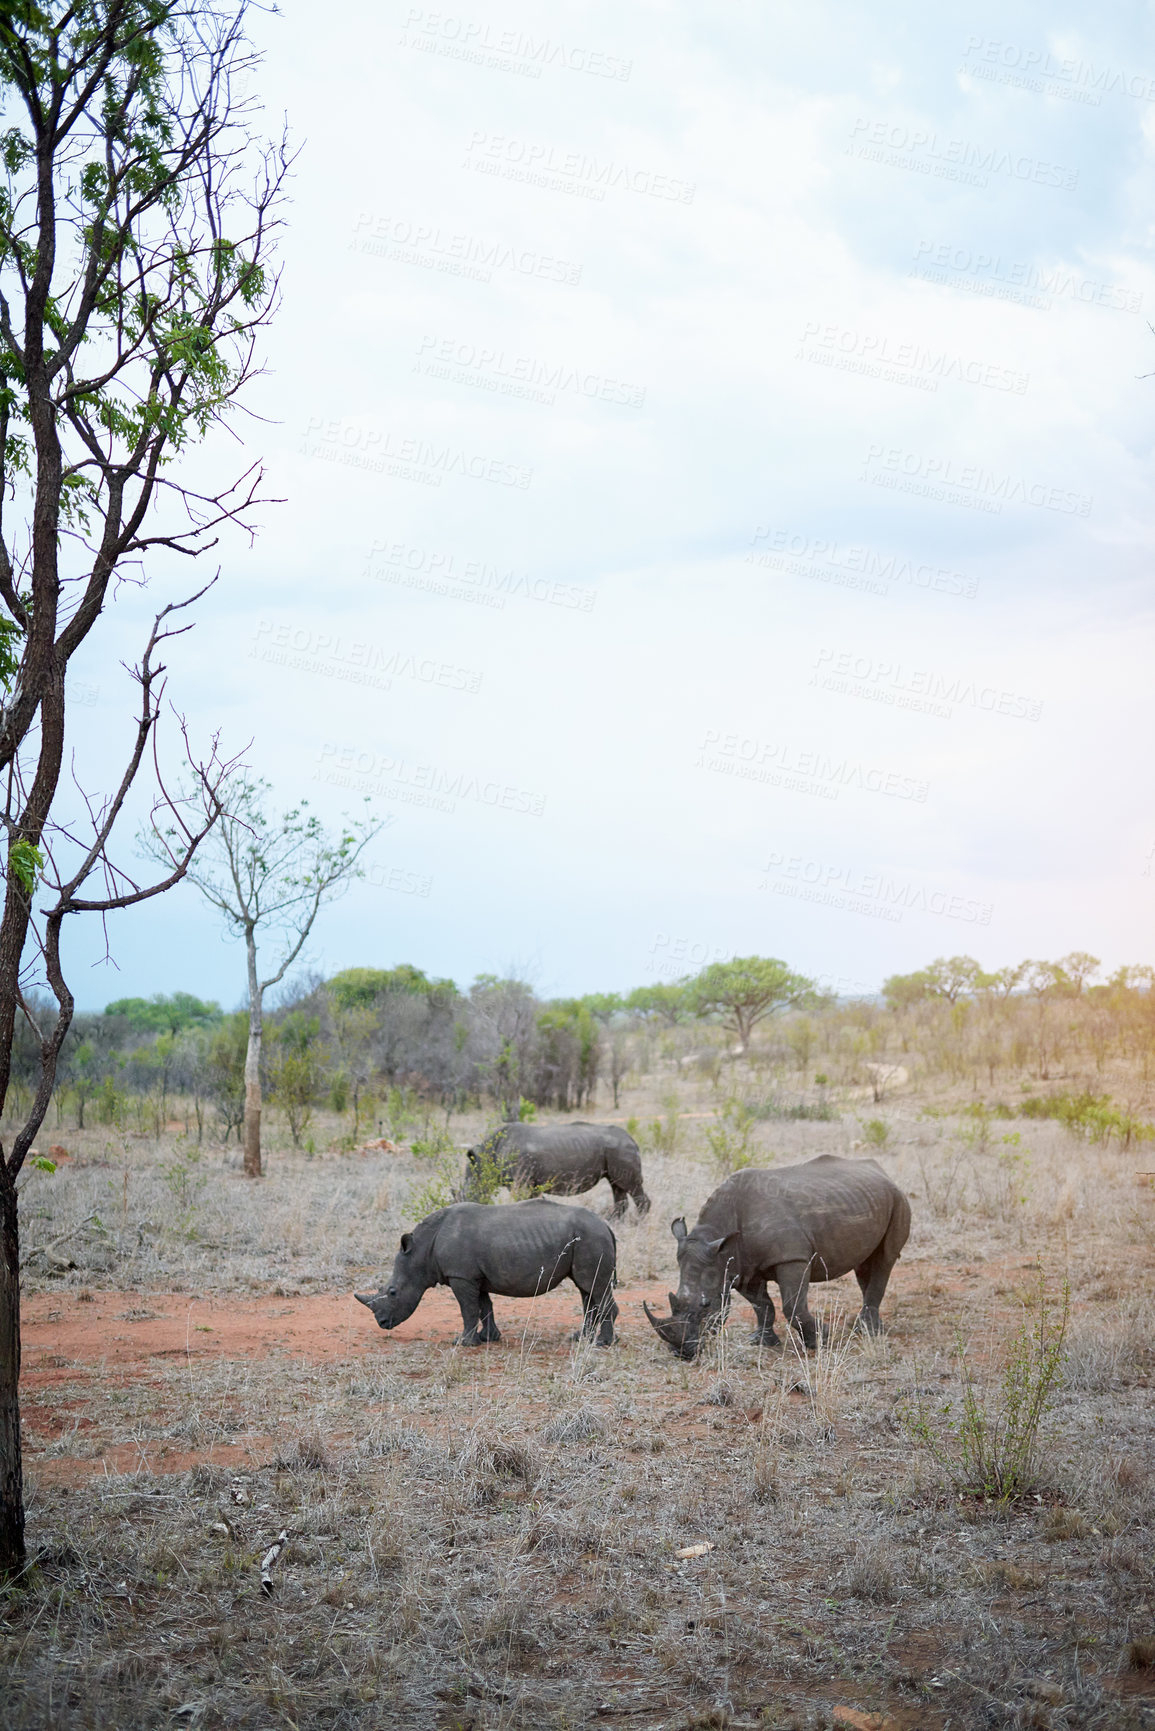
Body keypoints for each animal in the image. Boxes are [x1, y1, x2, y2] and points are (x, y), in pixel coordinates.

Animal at [354, 1204, 619, 1350]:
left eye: (392, 1292)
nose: (382, 1323)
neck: (422, 1250)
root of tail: (606, 1225)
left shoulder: (461, 1276)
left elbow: (468, 1308)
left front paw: (463, 1343)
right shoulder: (473, 1277)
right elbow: (483, 1306)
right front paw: (488, 1338)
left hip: (590, 1238)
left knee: (593, 1287)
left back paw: (601, 1344)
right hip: (586, 1239)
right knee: (586, 1288)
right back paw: (579, 1339)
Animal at [464, 1114, 654, 1225]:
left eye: (470, 1185)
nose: (464, 1200)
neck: (487, 1155)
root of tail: (632, 1139)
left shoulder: (521, 1181)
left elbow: (520, 1201)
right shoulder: (530, 1183)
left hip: (621, 1149)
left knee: (629, 1186)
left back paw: (636, 1223)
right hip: (615, 1150)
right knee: (617, 1186)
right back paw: (614, 1223)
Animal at [647, 1156, 907, 1357]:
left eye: (706, 1306)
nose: (681, 1352)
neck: (719, 1238)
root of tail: (880, 1170)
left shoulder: (791, 1258)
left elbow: (792, 1306)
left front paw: (821, 1340)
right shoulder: (740, 1267)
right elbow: (762, 1305)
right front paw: (761, 1341)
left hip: (899, 1198)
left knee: (885, 1257)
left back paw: (867, 1330)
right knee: (865, 1264)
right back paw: (869, 1326)